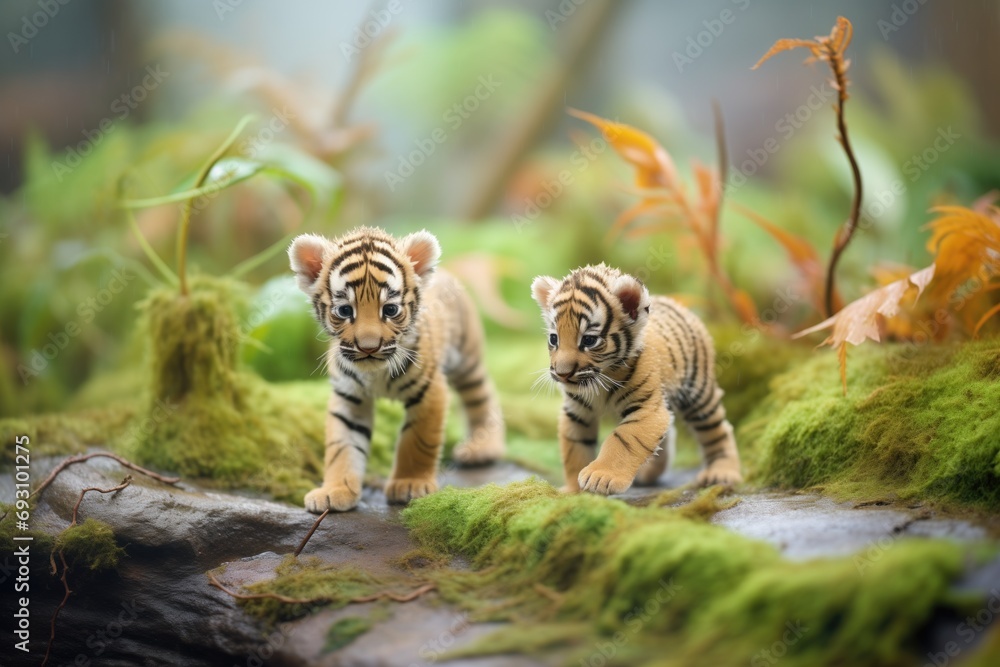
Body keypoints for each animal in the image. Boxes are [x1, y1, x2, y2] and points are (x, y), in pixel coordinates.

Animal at [288, 226, 505, 512]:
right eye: (344, 310)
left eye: (390, 310)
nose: (368, 347)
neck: (375, 372)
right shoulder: (348, 398)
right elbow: (342, 446)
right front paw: (334, 491)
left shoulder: (430, 389)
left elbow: (417, 441)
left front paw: (410, 484)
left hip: (467, 358)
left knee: (482, 395)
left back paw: (483, 447)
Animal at [530, 264, 742, 496]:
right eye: (554, 338)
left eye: (589, 340)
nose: (562, 373)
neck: (601, 379)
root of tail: (676, 304)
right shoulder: (577, 412)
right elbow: (574, 447)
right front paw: (573, 491)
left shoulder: (647, 410)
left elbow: (623, 439)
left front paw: (600, 476)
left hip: (698, 392)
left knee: (717, 429)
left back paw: (721, 472)